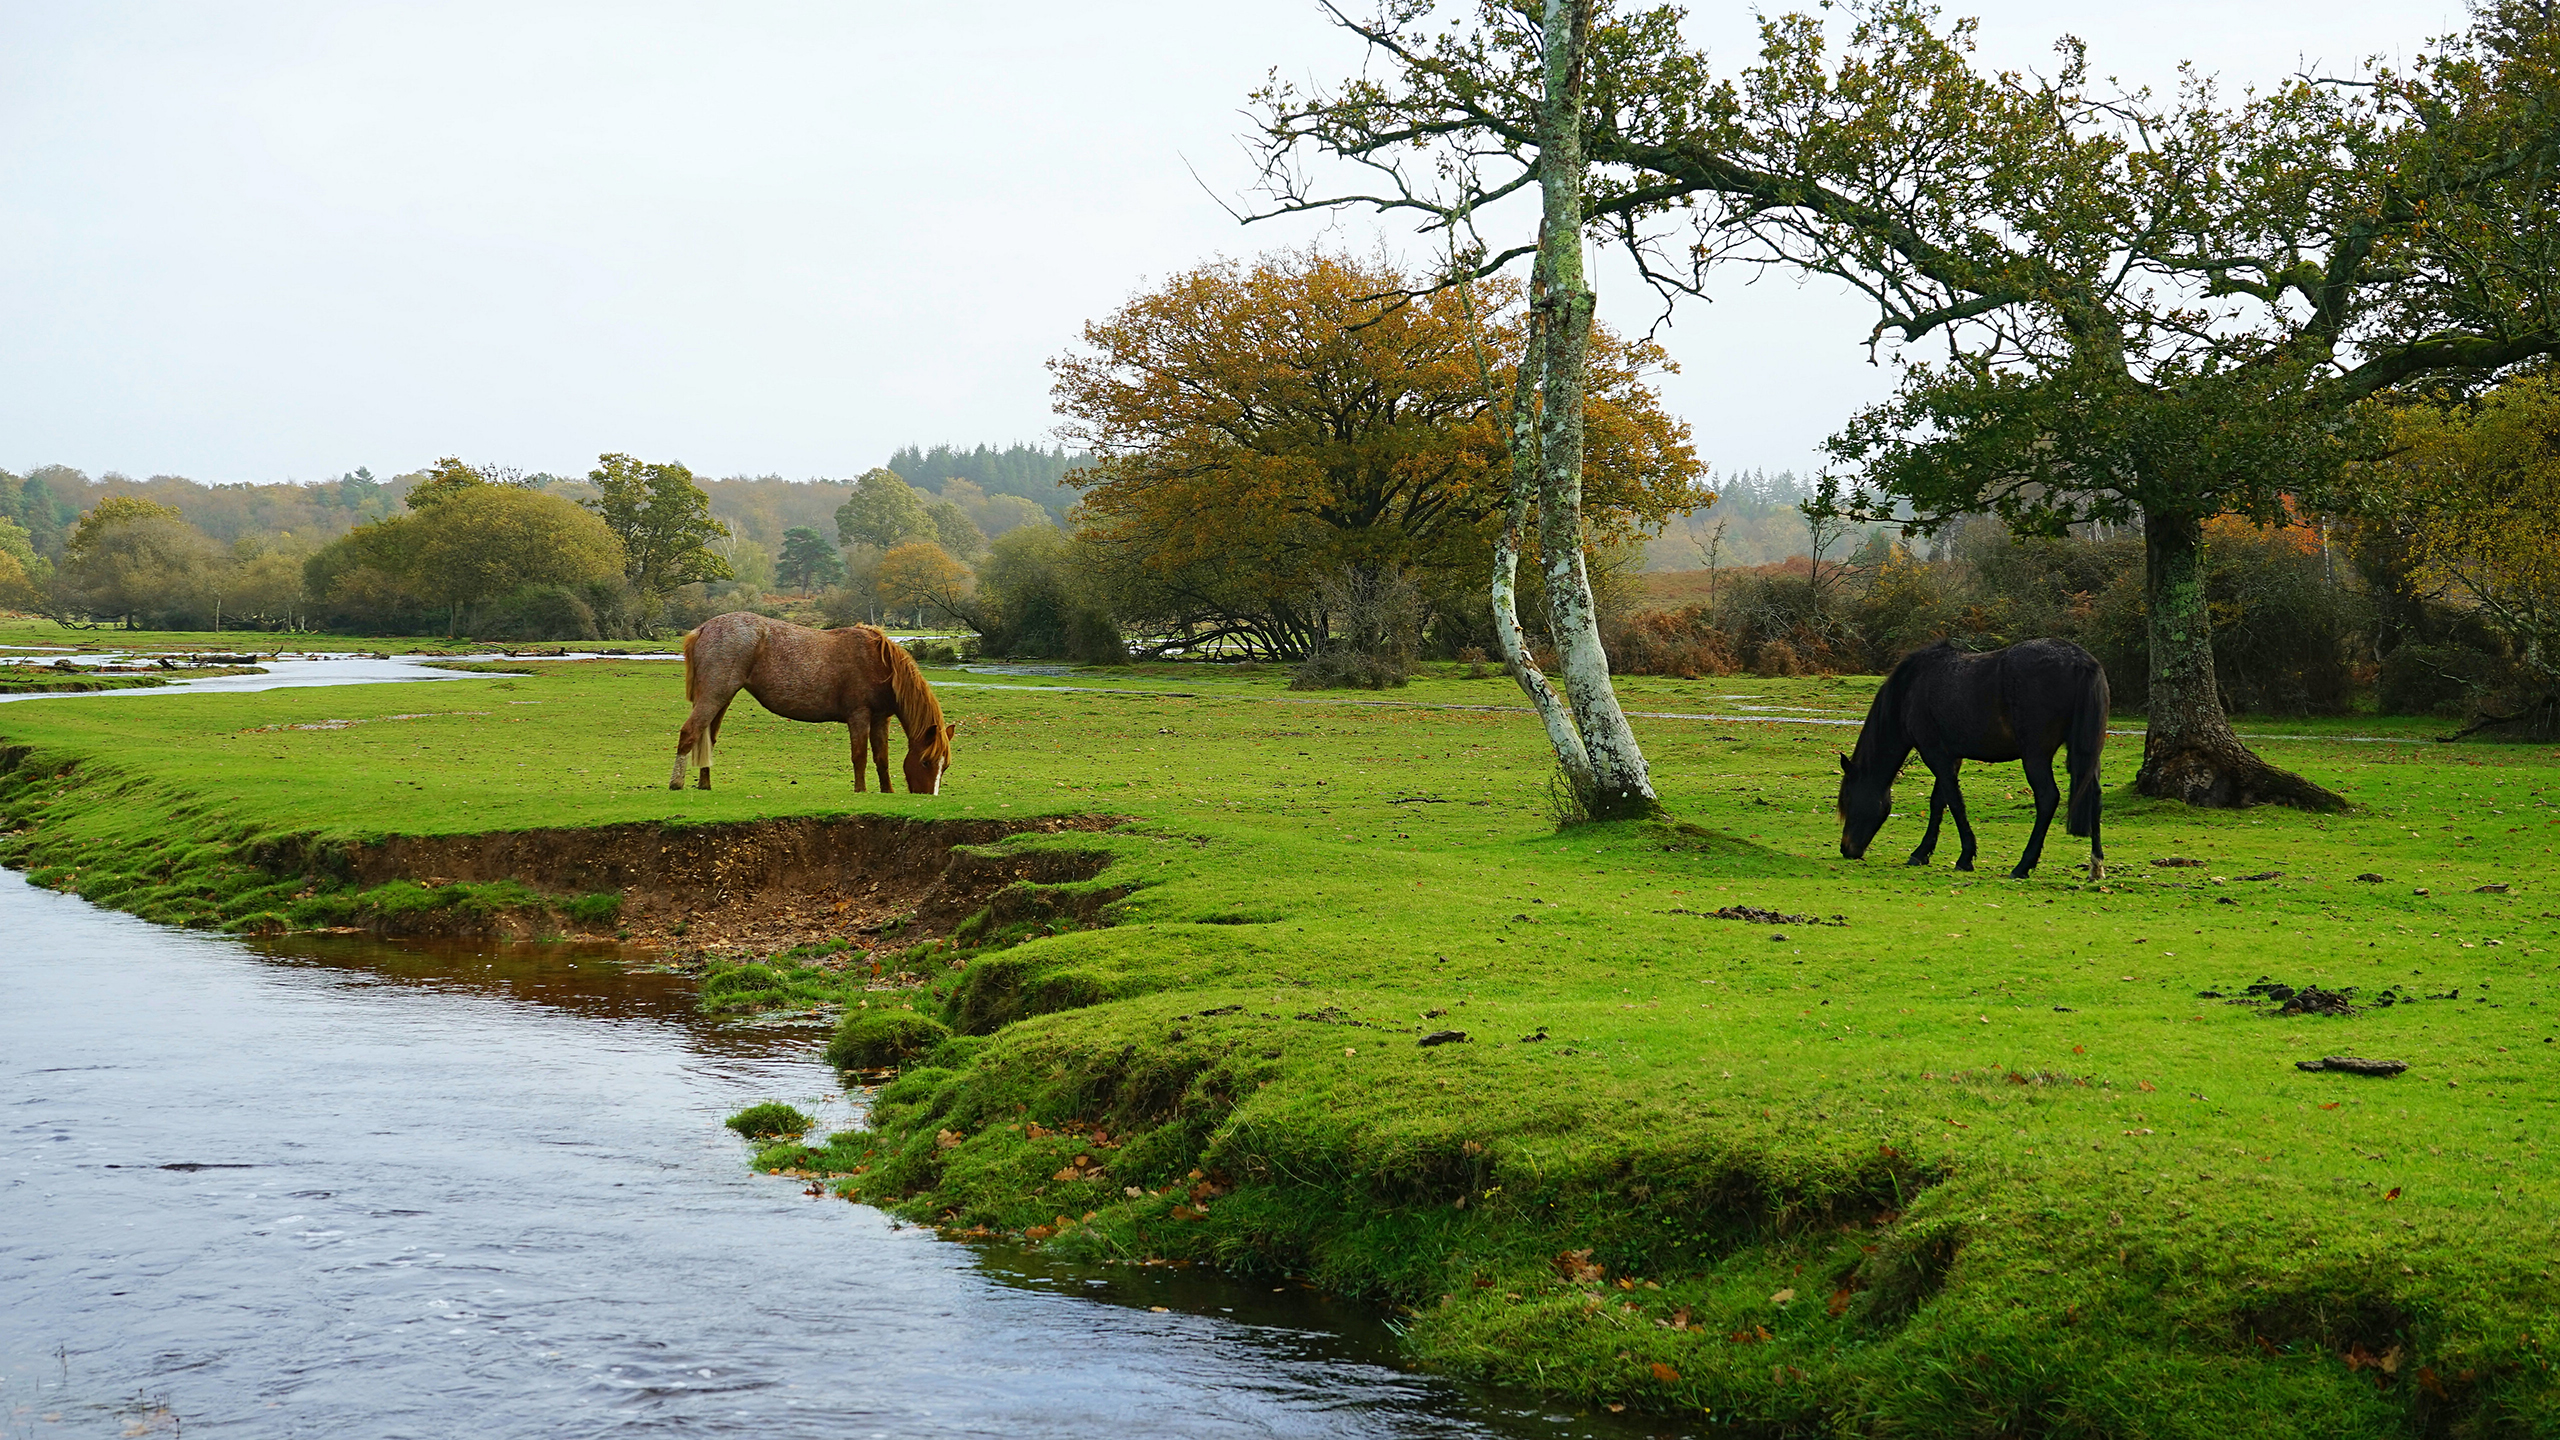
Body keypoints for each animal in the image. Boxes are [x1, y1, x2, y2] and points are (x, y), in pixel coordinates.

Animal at [670, 609, 962, 794]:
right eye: (926, 762)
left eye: (945, 766)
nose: (929, 795)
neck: (881, 665)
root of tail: (703, 628)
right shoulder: (859, 716)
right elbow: (860, 756)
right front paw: (861, 790)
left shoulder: (881, 719)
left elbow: (882, 758)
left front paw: (886, 790)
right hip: (714, 695)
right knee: (689, 732)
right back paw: (676, 783)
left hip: (723, 699)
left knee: (707, 737)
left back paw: (705, 784)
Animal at [1843, 635, 2119, 876]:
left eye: (1849, 799)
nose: (1846, 849)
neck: (1912, 688)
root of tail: (2081, 661)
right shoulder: (1951, 757)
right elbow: (1939, 801)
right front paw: (1922, 853)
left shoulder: (1935, 755)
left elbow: (1954, 802)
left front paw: (1965, 857)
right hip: (2086, 751)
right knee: (2094, 796)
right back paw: (2096, 866)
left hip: (2036, 756)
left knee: (2047, 798)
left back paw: (2023, 865)